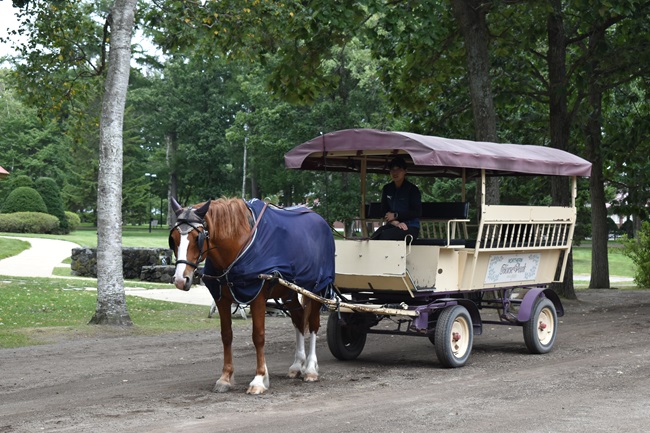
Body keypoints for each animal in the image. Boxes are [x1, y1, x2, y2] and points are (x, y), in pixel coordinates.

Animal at [167, 197, 334, 394]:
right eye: (173, 239)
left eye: (196, 237)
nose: (180, 279)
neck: (238, 246)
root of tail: (321, 220)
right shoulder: (222, 300)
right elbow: (226, 335)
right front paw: (225, 378)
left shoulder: (257, 297)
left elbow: (258, 336)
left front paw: (260, 378)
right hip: (289, 291)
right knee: (299, 318)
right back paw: (297, 365)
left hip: (316, 289)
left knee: (313, 323)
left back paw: (310, 368)